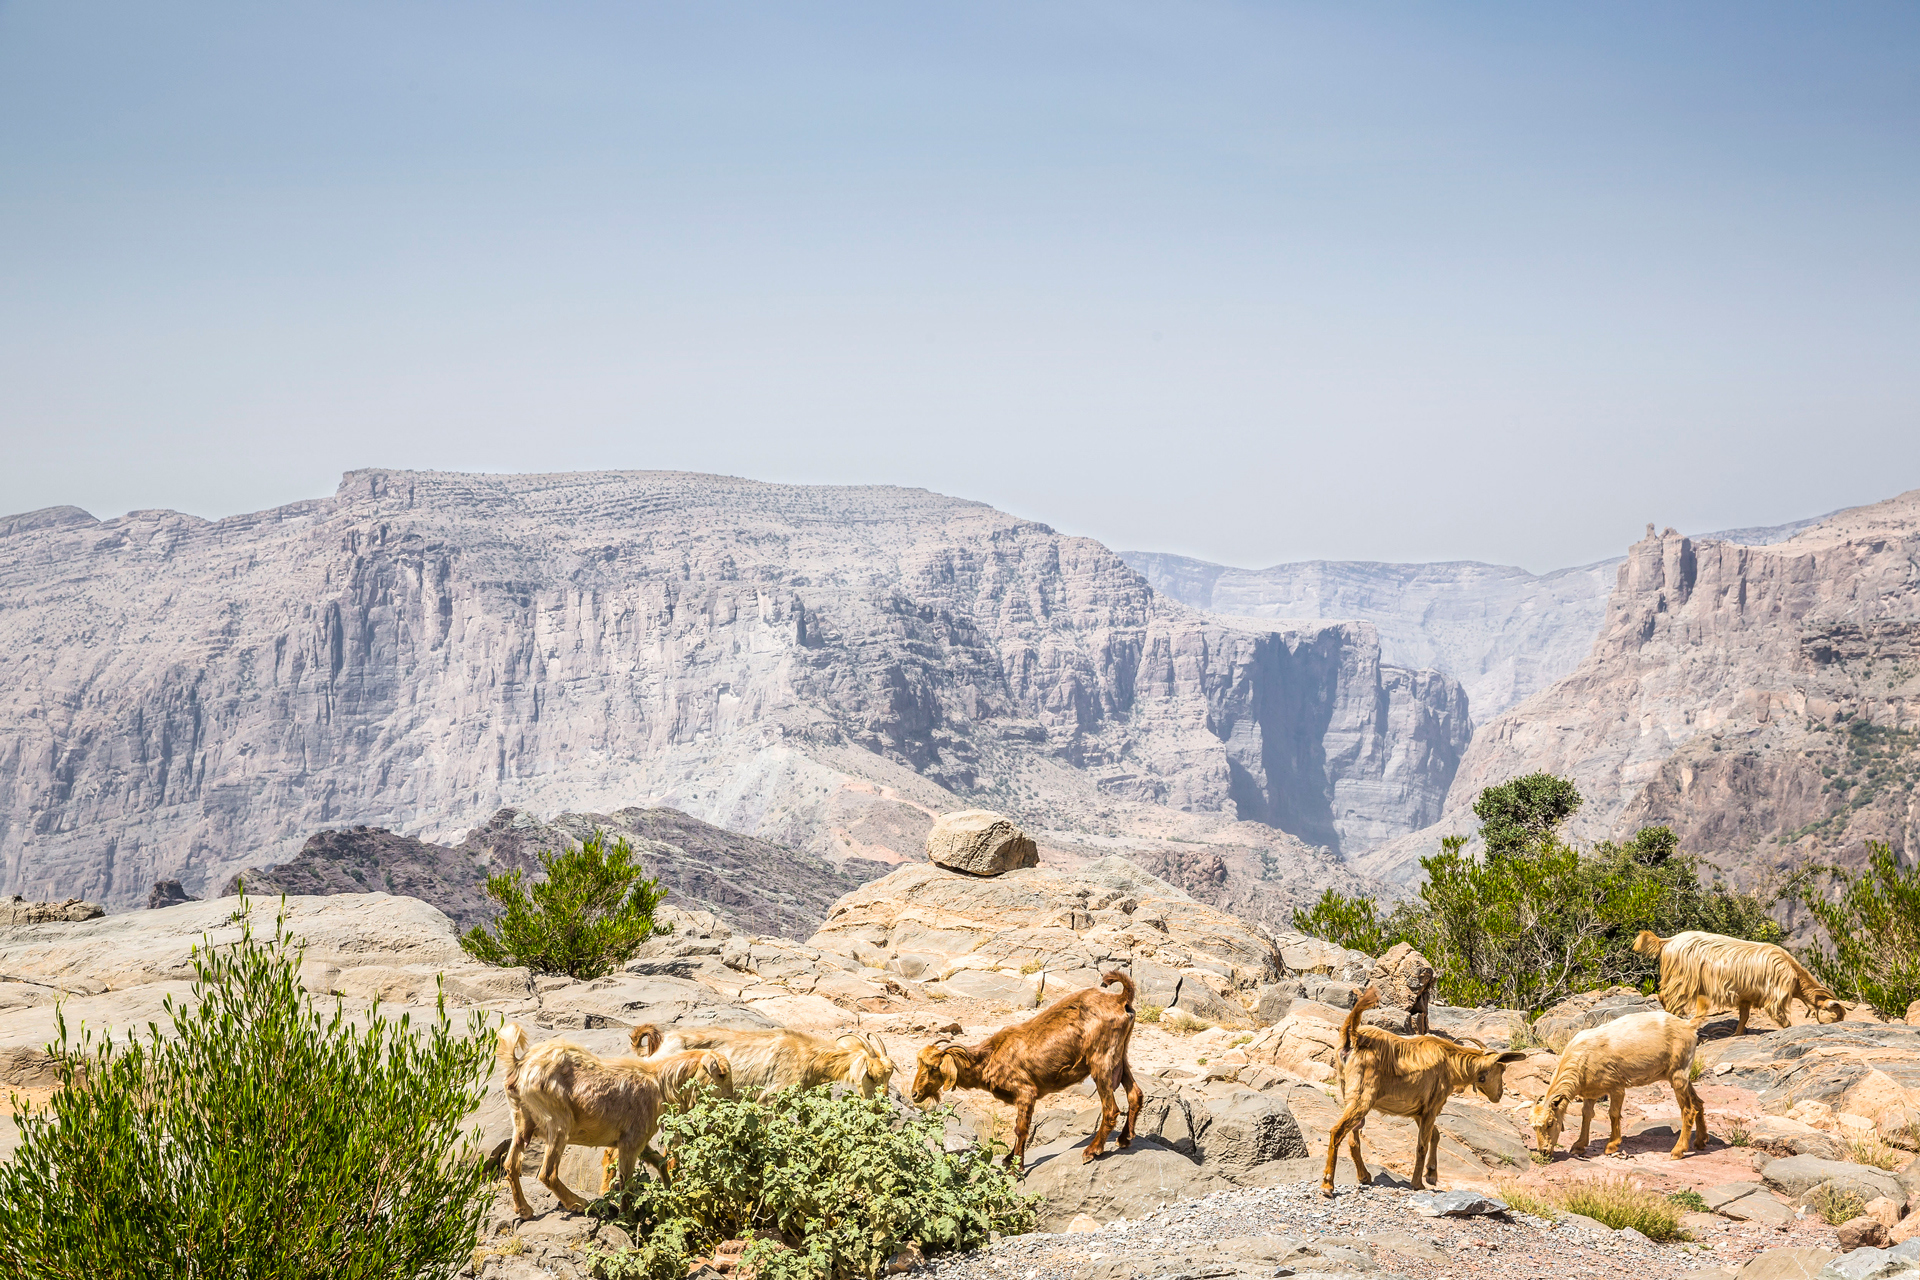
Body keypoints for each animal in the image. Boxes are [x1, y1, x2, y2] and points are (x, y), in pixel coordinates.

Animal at [910, 970, 1141, 1173]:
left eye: (933, 1067)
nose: (914, 1094)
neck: (990, 1056)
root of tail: (1120, 999)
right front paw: (1008, 1159)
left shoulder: (1025, 1092)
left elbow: (1020, 1128)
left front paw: (1016, 1167)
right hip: (1121, 1055)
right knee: (1135, 1094)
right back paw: (1124, 1139)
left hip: (1101, 1060)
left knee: (1110, 1108)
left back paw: (1092, 1151)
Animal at [1321, 987, 1525, 1196]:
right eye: (1502, 1069)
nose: (1499, 1095)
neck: (1451, 1062)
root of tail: (1354, 1036)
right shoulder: (1432, 1106)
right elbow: (1422, 1145)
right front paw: (1418, 1183)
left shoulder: (1419, 1110)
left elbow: (1435, 1135)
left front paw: (1432, 1174)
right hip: (1362, 1098)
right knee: (1337, 1131)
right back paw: (1328, 1184)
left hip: (1349, 1095)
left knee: (1353, 1138)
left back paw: (1364, 1176)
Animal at [1530, 1009, 1706, 1160]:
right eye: (1533, 1127)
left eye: (1550, 1123)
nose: (1543, 1151)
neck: (1582, 1058)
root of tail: (1688, 1024)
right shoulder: (1590, 1093)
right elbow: (1586, 1115)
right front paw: (1579, 1145)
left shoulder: (1616, 1087)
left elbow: (1613, 1114)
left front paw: (1611, 1145)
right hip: (1680, 1075)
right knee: (1698, 1103)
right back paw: (1700, 1141)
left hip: (1678, 1073)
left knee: (1688, 1110)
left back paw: (1678, 1150)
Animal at [1634, 929, 1845, 1035]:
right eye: (1833, 1012)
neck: (1794, 973)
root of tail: (1667, 941)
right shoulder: (1777, 992)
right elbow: (1780, 1015)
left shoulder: (1746, 997)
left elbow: (1743, 1017)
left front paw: (1737, 1034)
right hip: (1683, 979)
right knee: (1668, 997)